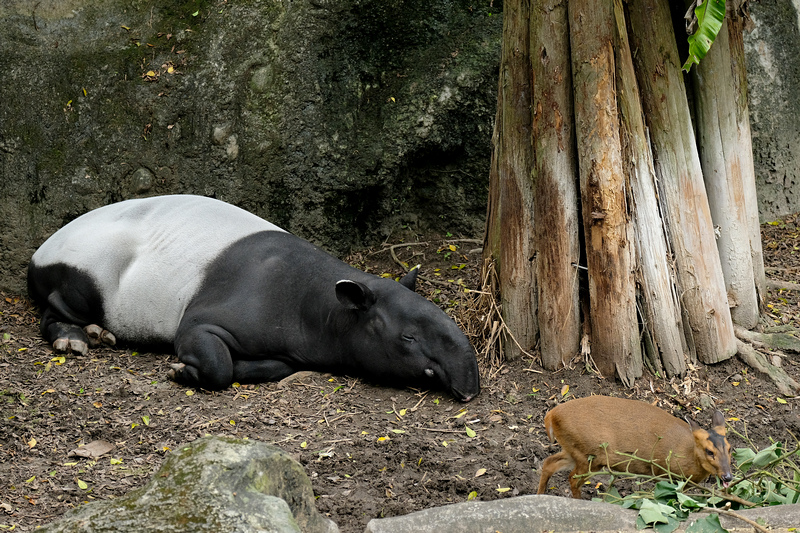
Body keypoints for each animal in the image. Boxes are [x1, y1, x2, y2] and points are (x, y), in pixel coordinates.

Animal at [536, 392, 732, 496]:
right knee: (572, 478)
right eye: (709, 451)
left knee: (549, 463)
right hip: (589, 453)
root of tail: (551, 415)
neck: (685, 452)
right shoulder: (662, 473)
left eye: (730, 449)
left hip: (574, 450)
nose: (728, 476)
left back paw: (540, 495)